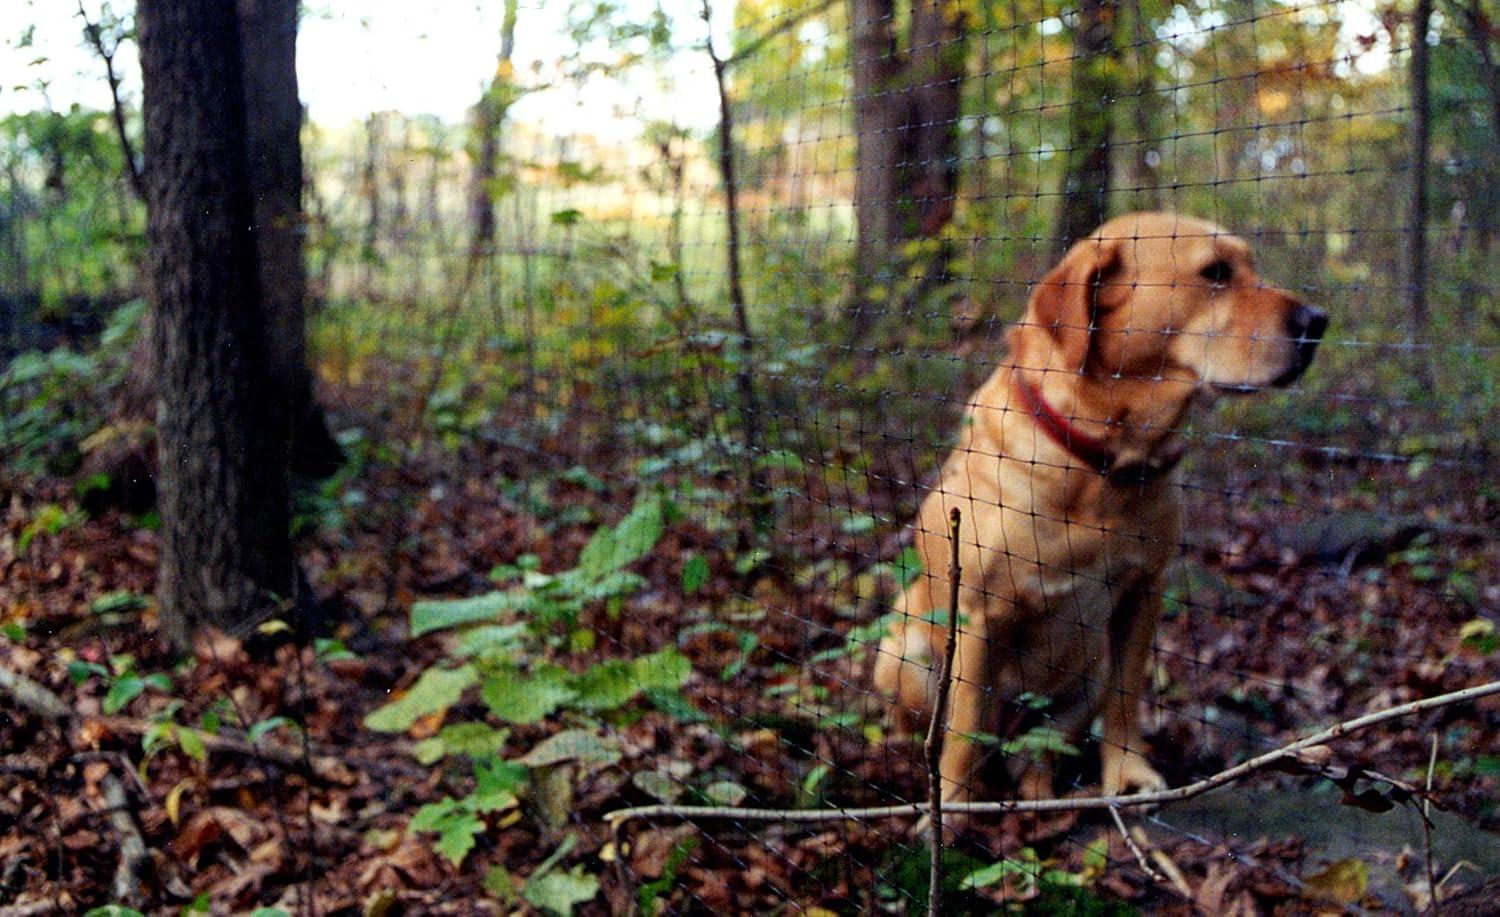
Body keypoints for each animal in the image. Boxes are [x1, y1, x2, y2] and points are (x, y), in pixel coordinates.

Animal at [876, 213, 1332, 810]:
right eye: (1215, 272)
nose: (1318, 321)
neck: (1101, 462)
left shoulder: (1143, 593)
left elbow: (1126, 697)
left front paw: (1127, 773)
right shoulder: (978, 616)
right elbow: (963, 727)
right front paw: (951, 810)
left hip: (1084, 674)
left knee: (1039, 752)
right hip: (901, 650)